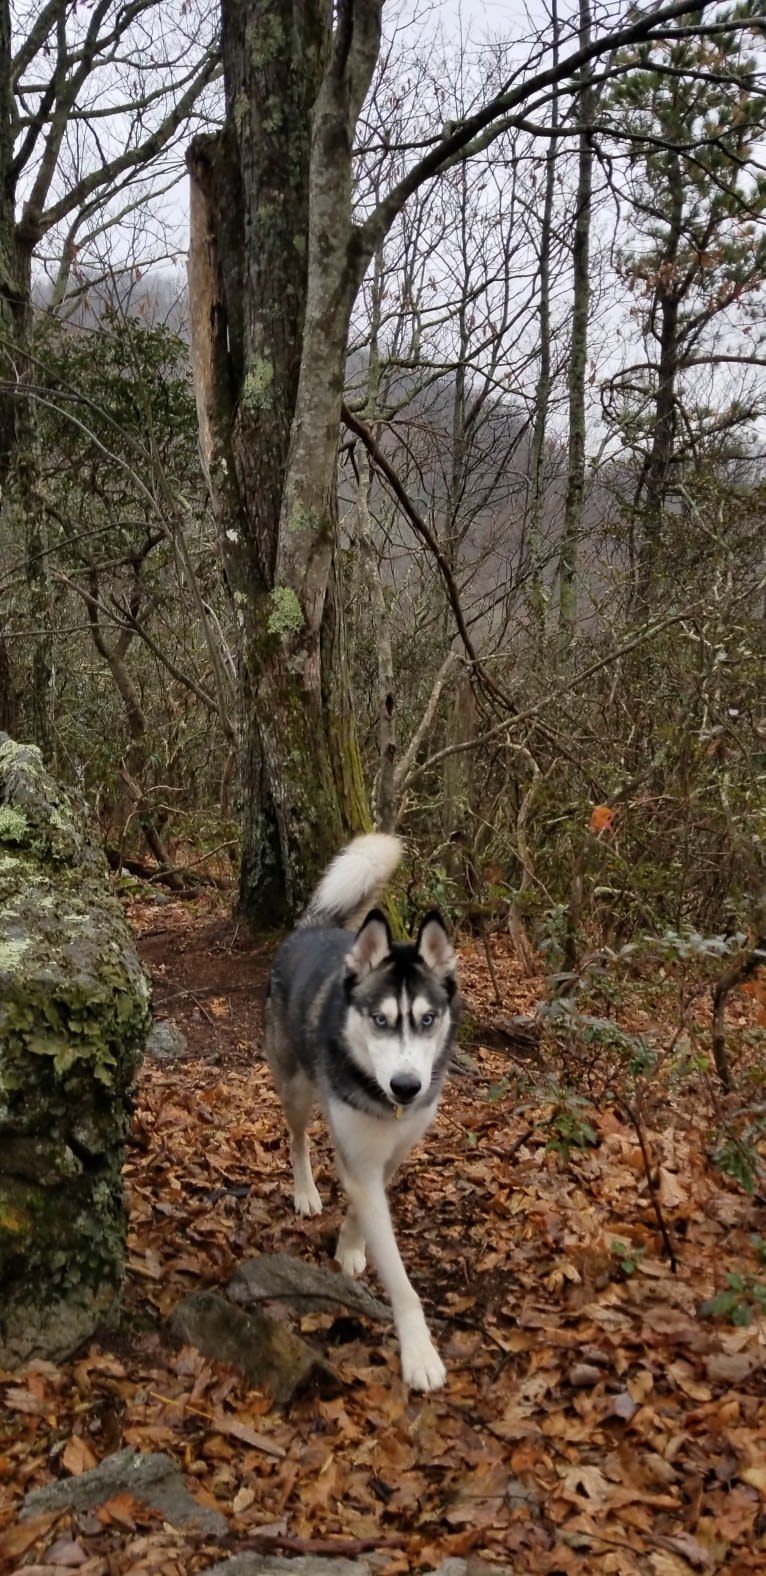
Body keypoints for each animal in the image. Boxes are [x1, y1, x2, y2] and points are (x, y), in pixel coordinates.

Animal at [264, 832, 453, 1386]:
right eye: (380, 1020)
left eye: (427, 1019)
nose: (407, 1086)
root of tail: (312, 928)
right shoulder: (362, 1157)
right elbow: (400, 1278)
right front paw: (419, 1353)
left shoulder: (390, 1154)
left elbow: (362, 1205)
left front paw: (350, 1246)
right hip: (296, 1088)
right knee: (298, 1137)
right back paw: (305, 1190)